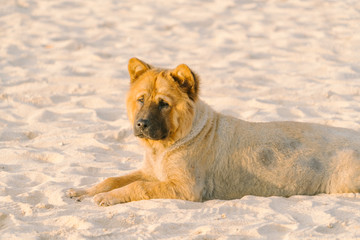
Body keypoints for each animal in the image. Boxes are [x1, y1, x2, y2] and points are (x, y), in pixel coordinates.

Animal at [66, 57, 360, 205]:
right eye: (141, 99)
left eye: (163, 104)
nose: (141, 125)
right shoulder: (152, 172)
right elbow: (113, 179)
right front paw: (83, 191)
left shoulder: (185, 187)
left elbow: (137, 187)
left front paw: (105, 198)